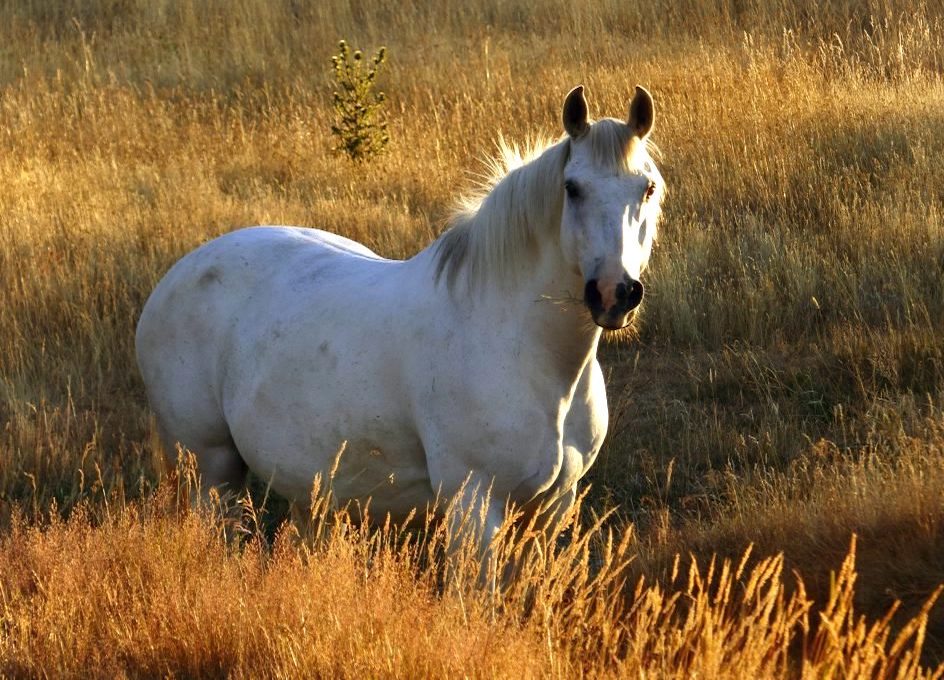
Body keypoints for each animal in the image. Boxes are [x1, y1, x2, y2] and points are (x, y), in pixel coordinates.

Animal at [136, 85, 665, 566]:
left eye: (648, 188)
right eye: (572, 188)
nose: (615, 292)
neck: (526, 352)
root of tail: (178, 275)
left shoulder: (551, 508)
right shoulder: (474, 504)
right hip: (212, 469)